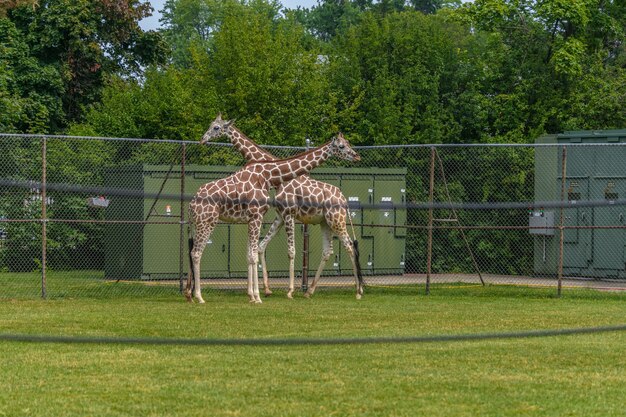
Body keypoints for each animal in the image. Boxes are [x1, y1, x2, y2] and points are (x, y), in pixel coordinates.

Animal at [200, 114, 366, 300]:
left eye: (216, 127)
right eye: (211, 125)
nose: (203, 139)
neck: (277, 179)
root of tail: (344, 198)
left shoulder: (289, 213)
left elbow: (291, 251)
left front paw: (289, 290)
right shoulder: (280, 215)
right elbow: (261, 246)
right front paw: (266, 289)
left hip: (337, 220)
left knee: (349, 246)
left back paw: (358, 291)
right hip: (326, 222)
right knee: (328, 251)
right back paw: (310, 291)